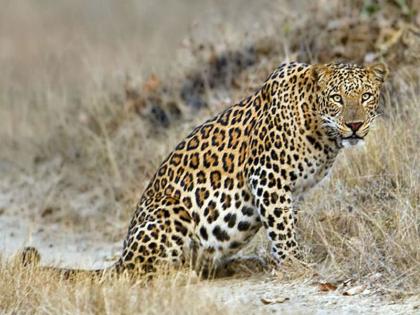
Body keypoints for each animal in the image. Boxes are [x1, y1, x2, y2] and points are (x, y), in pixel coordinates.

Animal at [19, 61, 388, 278]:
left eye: (366, 96)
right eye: (337, 98)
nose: (354, 125)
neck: (323, 133)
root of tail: (122, 256)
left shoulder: (291, 192)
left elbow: (285, 224)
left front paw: (283, 260)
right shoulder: (267, 177)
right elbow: (282, 229)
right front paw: (296, 264)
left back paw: (241, 264)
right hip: (172, 214)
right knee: (143, 272)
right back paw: (181, 275)